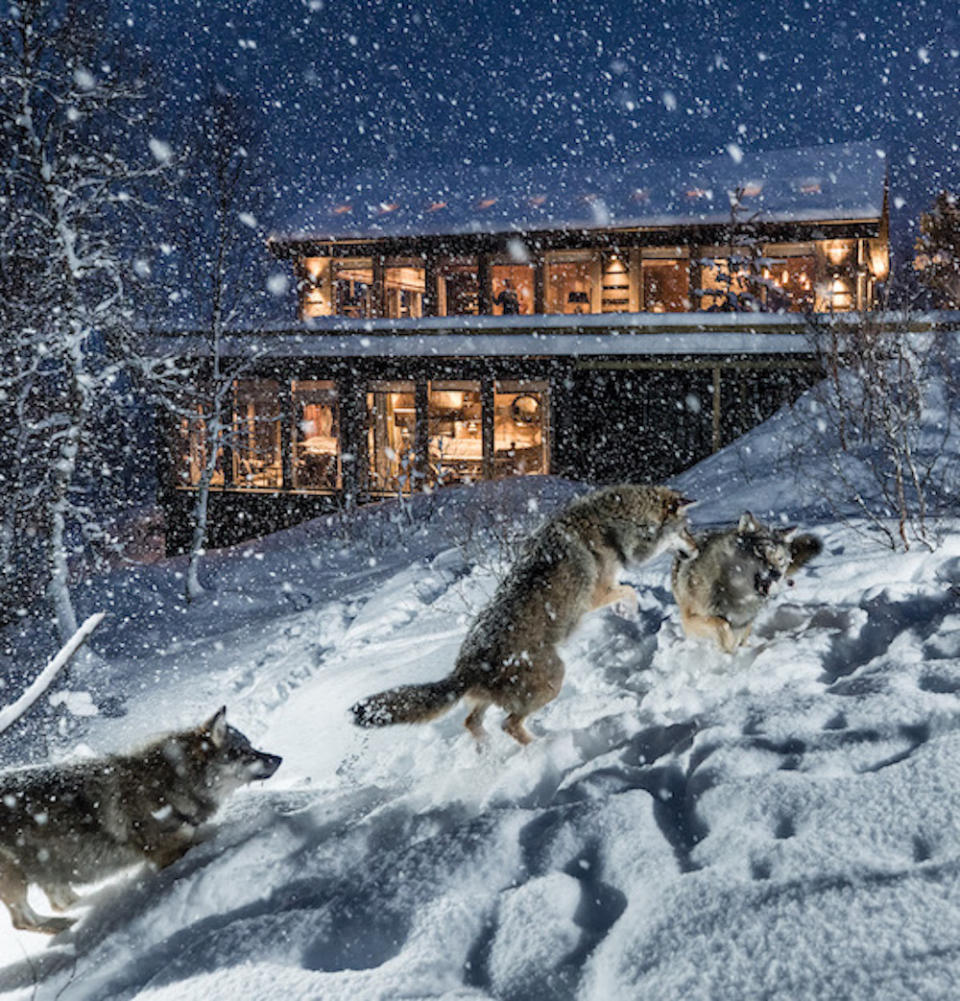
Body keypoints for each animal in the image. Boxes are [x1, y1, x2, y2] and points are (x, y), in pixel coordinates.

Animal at [0, 708, 284, 932]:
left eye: (251, 746)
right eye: (242, 751)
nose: (279, 758)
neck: (166, 784)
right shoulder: (167, 853)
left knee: (57, 903)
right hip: (17, 881)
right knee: (21, 921)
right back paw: (69, 929)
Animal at [348, 484, 692, 744]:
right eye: (686, 529)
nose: (696, 548)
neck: (612, 521)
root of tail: (464, 669)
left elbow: (628, 589)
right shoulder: (597, 594)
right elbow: (630, 591)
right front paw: (631, 612)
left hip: (495, 699)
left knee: (472, 723)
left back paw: (487, 751)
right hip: (554, 679)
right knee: (508, 724)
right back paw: (541, 746)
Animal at [672, 512, 820, 652]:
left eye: (780, 559)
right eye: (760, 553)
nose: (777, 575)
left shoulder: (744, 621)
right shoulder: (689, 620)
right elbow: (722, 624)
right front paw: (729, 649)